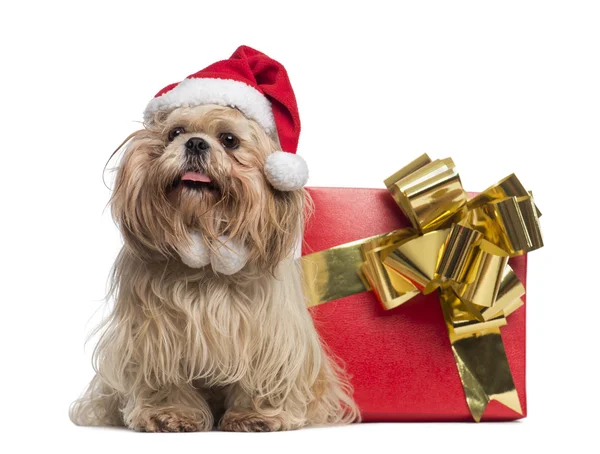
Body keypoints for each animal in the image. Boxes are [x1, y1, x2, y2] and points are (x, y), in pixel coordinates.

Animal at [70, 46, 360, 432]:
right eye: (175, 132)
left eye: (229, 140)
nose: (194, 142)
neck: (206, 246)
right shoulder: (155, 333)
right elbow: (164, 376)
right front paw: (170, 413)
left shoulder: (269, 334)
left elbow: (261, 375)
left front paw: (256, 415)